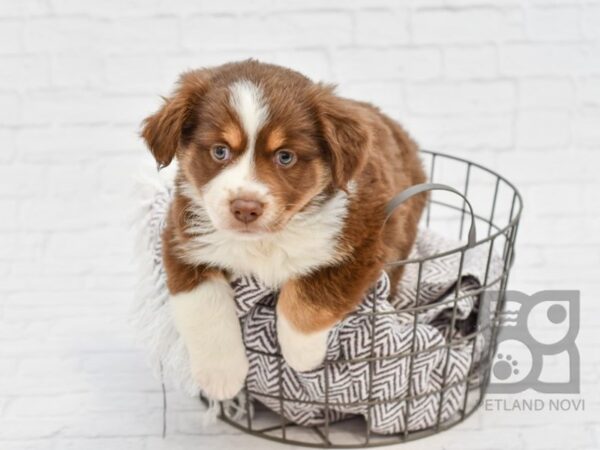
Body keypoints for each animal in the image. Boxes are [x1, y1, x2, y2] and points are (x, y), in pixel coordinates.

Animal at [141, 60, 426, 400]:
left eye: (285, 156)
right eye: (220, 151)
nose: (245, 208)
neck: (266, 241)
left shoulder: (364, 240)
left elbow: (309, 296)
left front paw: (303, 356)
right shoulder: (183, 240)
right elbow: (204, 305)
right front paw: (221, 377)